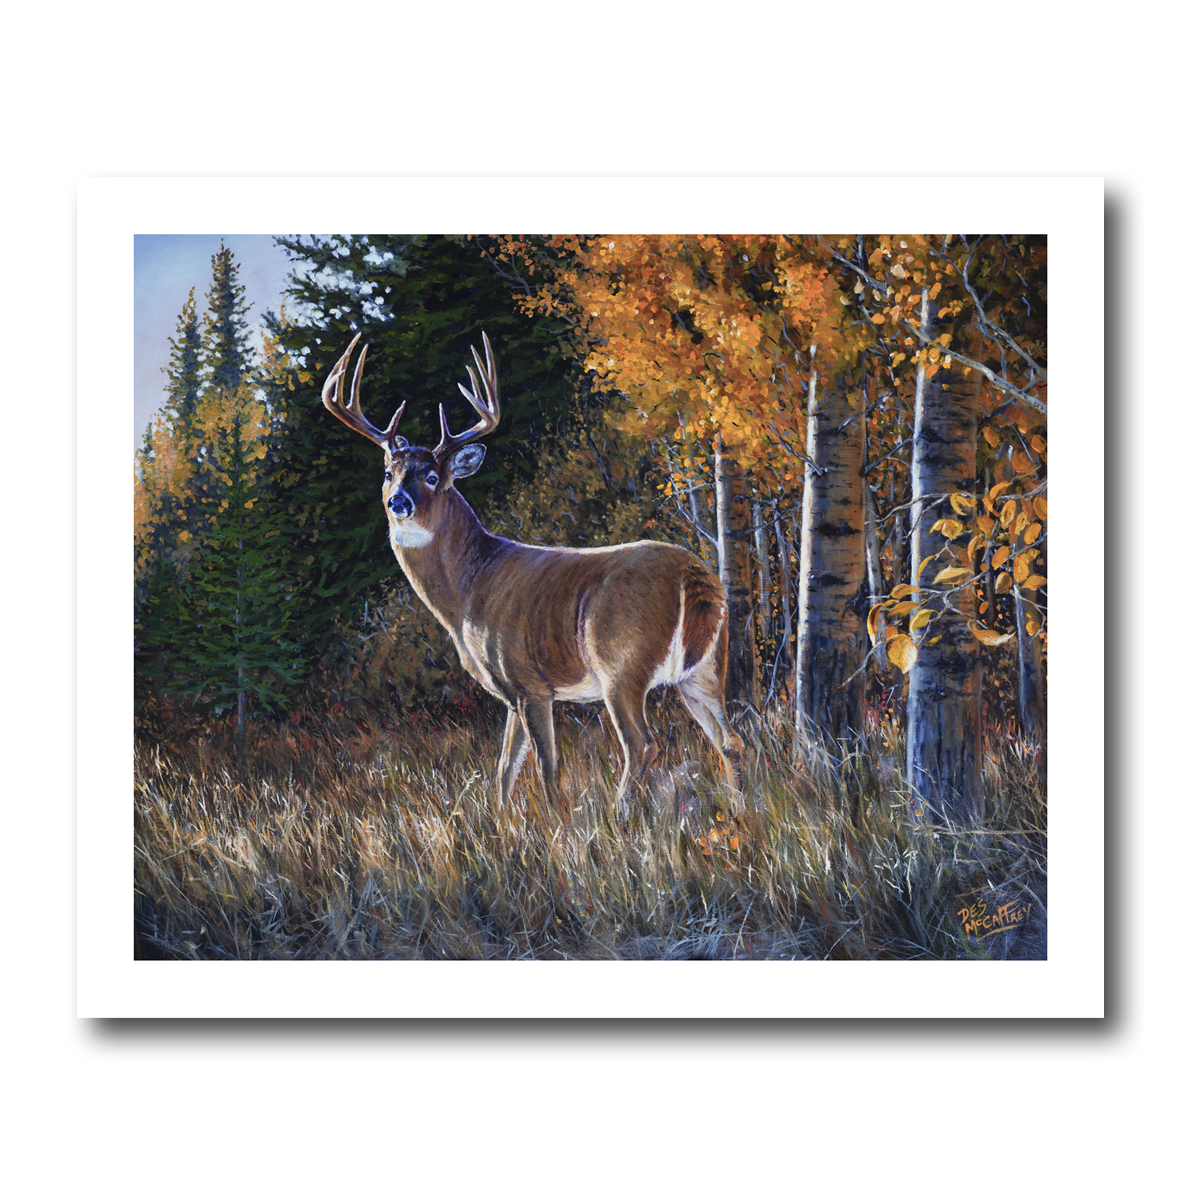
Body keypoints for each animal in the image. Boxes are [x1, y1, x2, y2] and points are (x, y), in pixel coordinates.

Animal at [321, 331, 744, 823]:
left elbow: (546, 769)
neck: (468, 591)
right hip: (705, 666)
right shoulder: (510, 693)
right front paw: (502, 827)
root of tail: (693, 575)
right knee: (729, 740)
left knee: (642, 745)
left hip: (621, 664)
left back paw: (617, 818)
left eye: (432, 476)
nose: (398, 502)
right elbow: (505, 769)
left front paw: (557, 826)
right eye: (389, 472)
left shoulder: (530, 682)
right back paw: (743, 812)